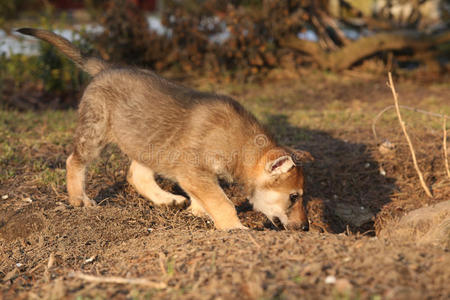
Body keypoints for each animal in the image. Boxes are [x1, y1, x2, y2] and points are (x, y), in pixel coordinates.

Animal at [19, 28, 312, 230]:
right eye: (293, 197)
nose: (305, 228)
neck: (240, 144)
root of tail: (106, 68)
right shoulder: (194, 171)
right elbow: (223, 202)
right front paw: (235, 229)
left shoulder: (193, 174)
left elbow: (204, 196)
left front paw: (198, 211)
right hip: (95, 132)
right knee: (74, 161)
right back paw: (79, 199)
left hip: (147, 141)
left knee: (136, 175)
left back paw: (167, 200)